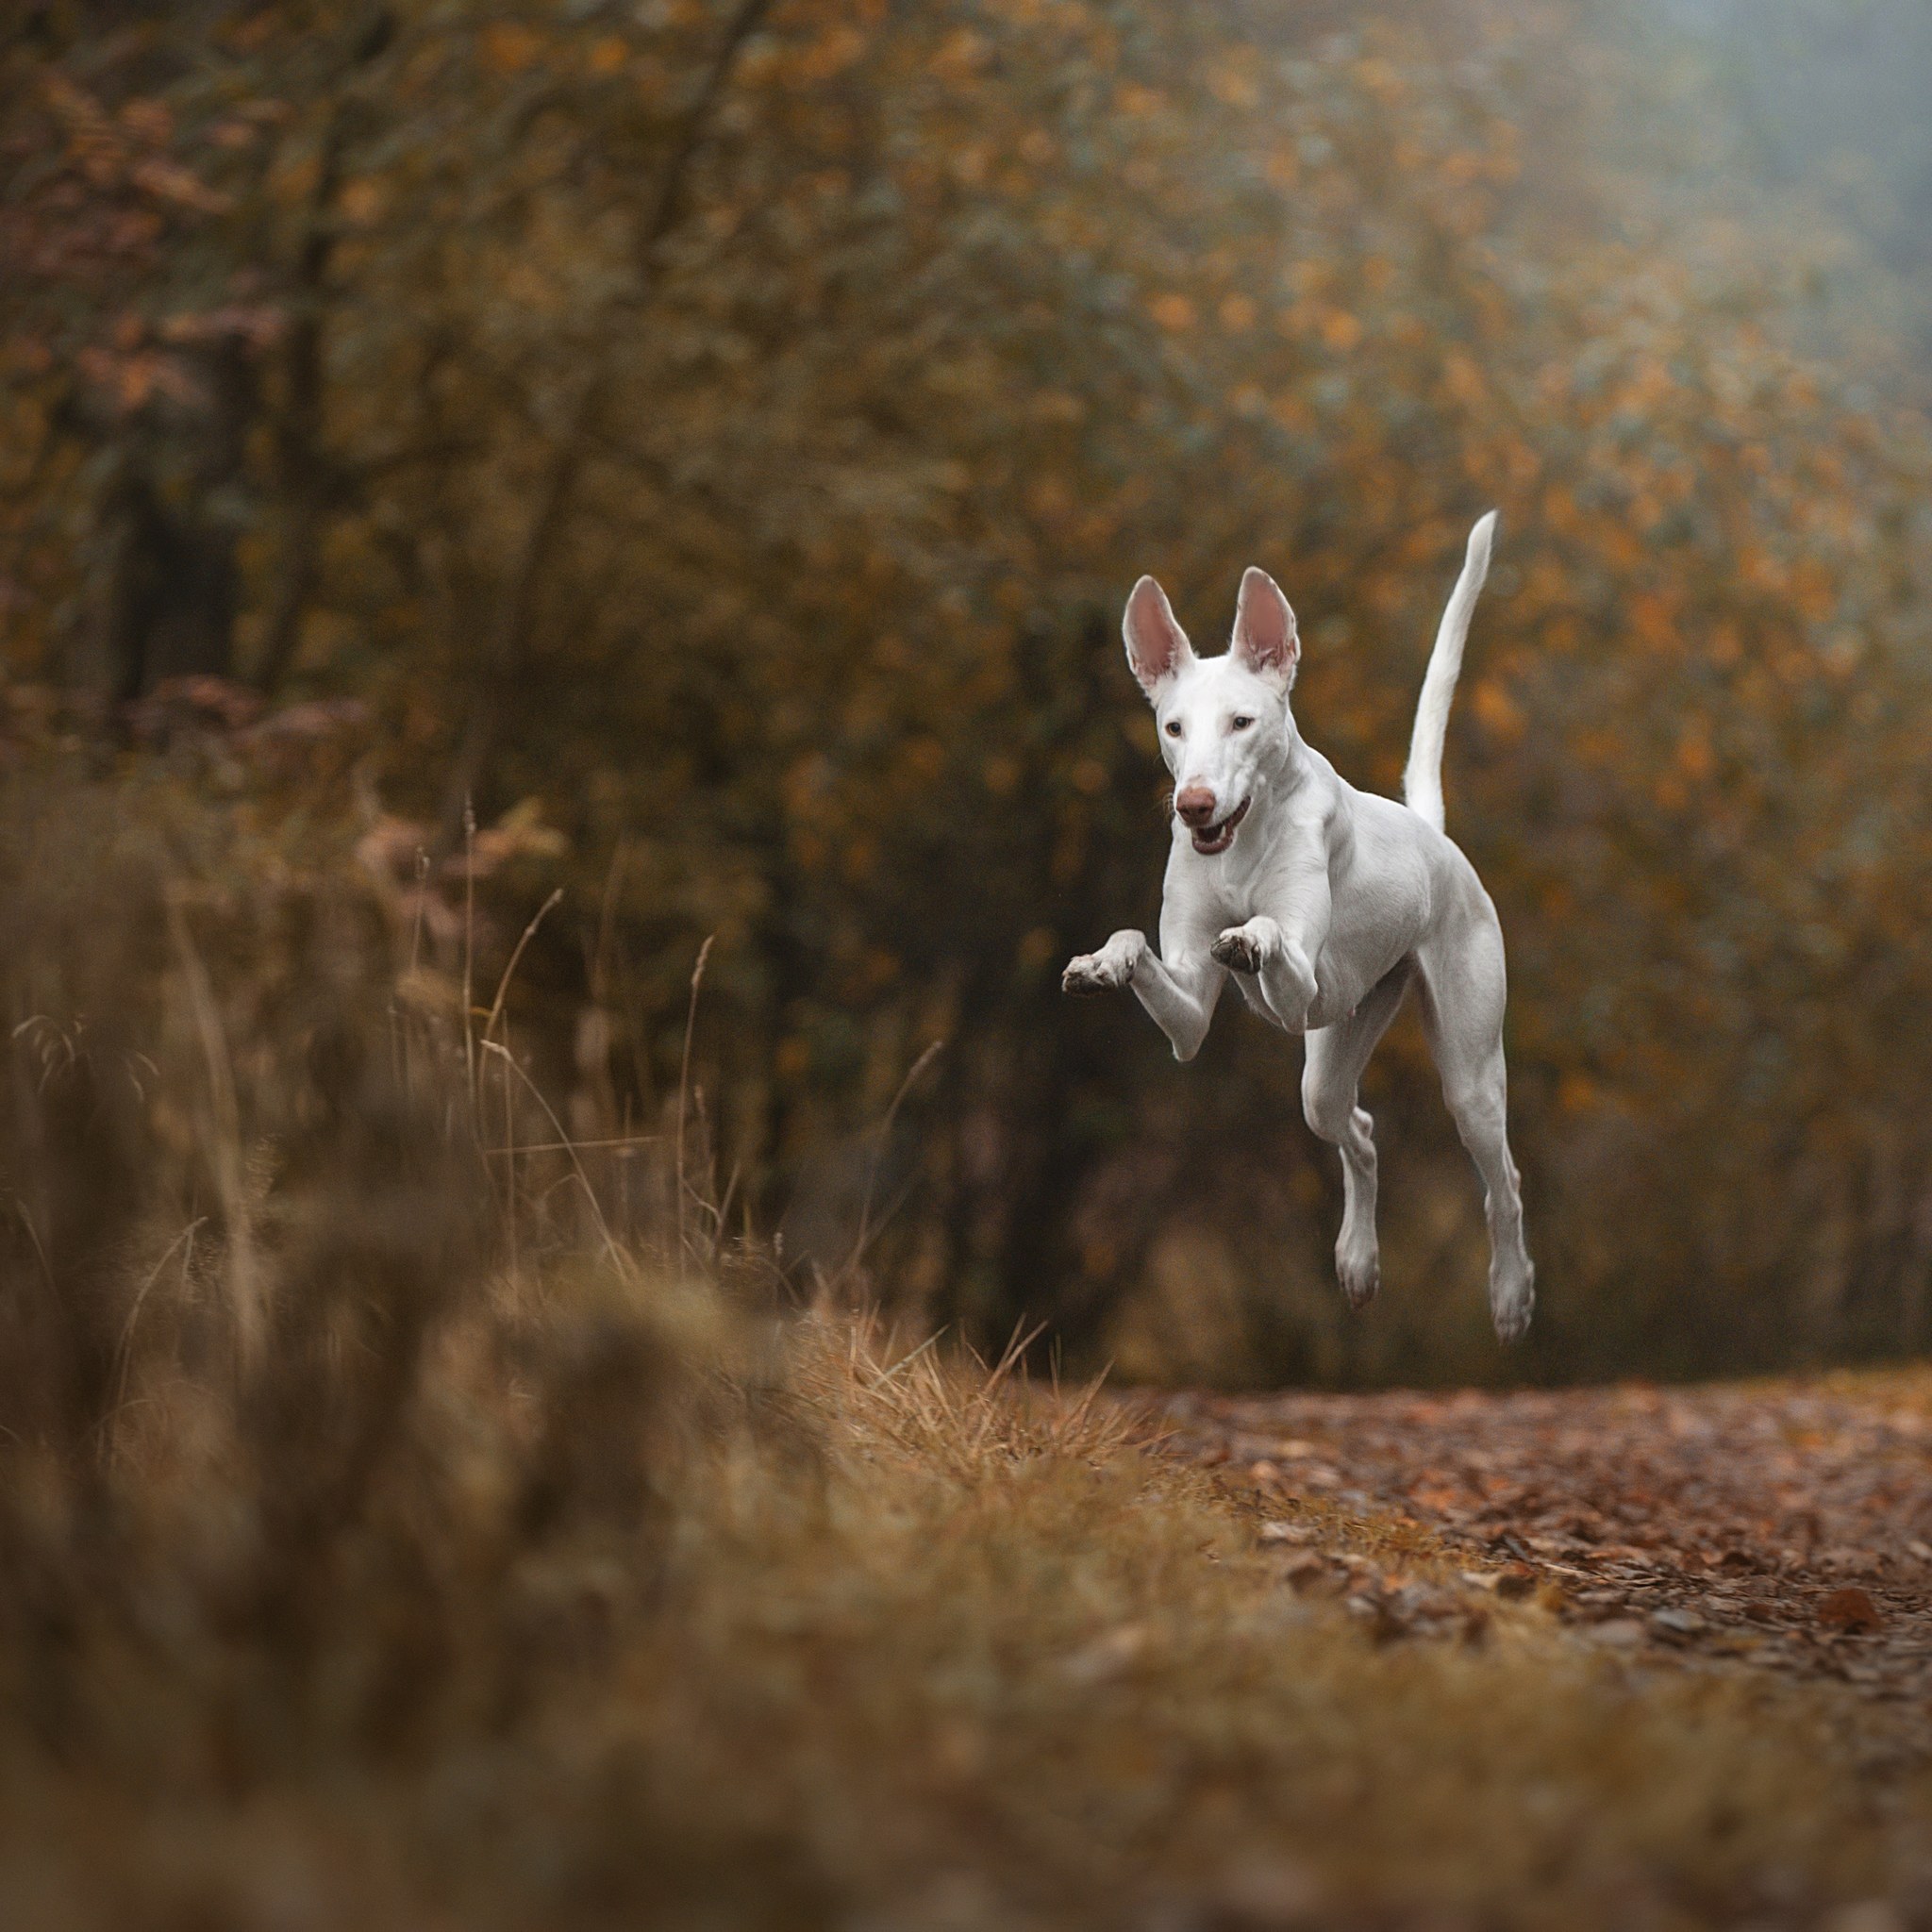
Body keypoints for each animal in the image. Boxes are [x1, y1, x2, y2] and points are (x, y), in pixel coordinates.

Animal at [1066, 513, 1530, 1344]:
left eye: (1242, 722)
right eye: (1173, 727)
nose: (1192, 804)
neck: (1239, 848)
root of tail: (1431, 833)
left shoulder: (1299, 982)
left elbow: (1274, 936)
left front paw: (1252, 935)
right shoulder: (1189, 1015)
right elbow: (1139, 948)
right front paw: (1100, 963)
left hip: (1470, 1076)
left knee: (1501, 1180)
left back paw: (1511, 1296)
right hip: (1328, 1066)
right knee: (1362, 1132)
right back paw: (1358, 1262)